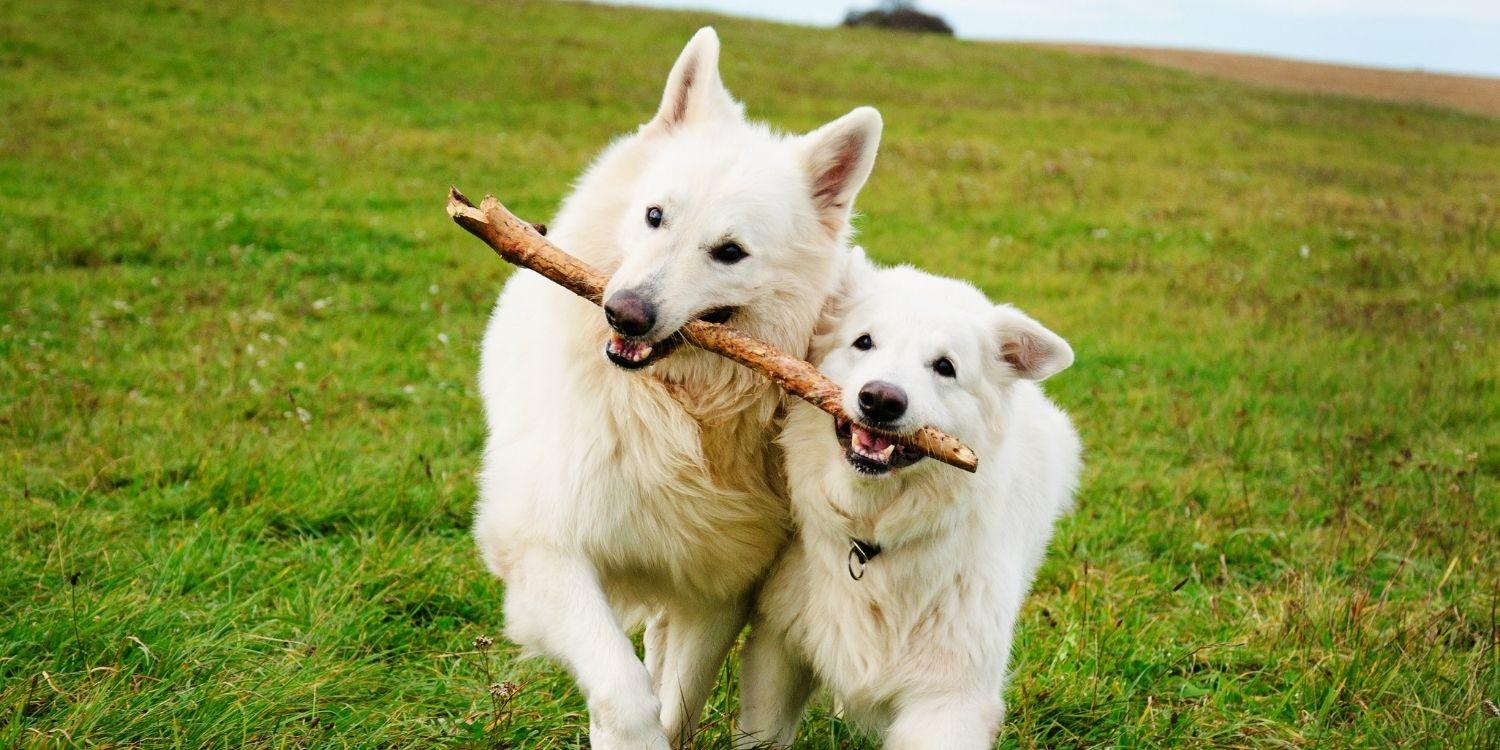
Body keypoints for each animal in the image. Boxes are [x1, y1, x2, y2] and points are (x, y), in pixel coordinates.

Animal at [474, 26, 882, 747]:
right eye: (655, 216)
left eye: (730, 252)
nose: (624, 314)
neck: (674, 409)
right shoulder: (547, 550)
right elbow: (622, 689)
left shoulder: (719, 585)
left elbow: (678, 700)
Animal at [735, 255, 1080, 747]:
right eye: (864, 341)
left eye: (945, 366)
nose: (880, 400)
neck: (869, 536)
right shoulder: (777, 651)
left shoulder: (949, 701)